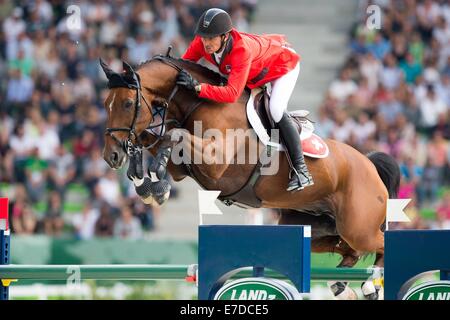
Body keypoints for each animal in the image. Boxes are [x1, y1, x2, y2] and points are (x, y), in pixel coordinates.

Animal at [99, 53, 400, 300]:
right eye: (106, 103)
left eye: (127, 103)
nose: (110, 156)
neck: (199, 103)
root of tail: (369, 164)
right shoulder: (184, 168)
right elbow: (155, 140)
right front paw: (143, 182)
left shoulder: (216, 163)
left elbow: (173, 135)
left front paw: (158, 188)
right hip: (312, 226)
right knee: (350, 251)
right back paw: (342, 286)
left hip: (358, 227)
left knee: (380, 243)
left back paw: (370, 284)